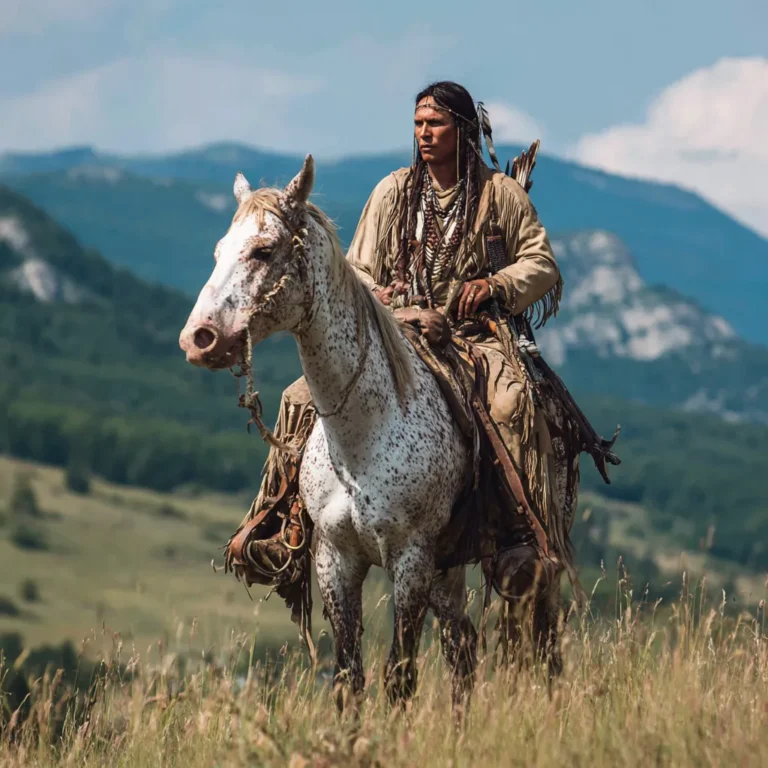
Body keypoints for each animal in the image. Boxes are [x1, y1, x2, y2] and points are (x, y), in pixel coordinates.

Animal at [179, 156, 478, 710]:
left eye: (264, 250)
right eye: (218, 252)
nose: (198, 338)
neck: (362, 438)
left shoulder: (410, 561)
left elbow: (399, 676)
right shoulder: (335, 561)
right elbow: (347, 678)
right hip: (444, 573)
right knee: (462, 644)